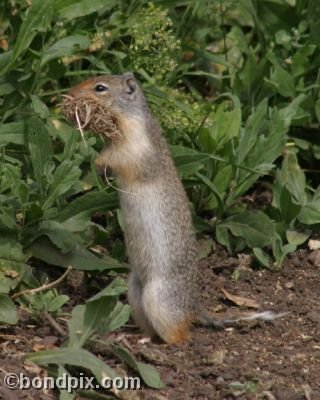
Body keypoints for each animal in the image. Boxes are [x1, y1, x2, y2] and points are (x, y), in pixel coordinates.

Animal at [62, 72, 288, 344]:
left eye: (100, 88)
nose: (70, 94)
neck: (131, 119)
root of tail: (192, 307)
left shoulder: (135, 150)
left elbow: (119, 160)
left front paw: (96, 162)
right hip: (135, 293)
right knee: (150, 327)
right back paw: (138, 338)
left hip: (158, 299)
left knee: (179, 336)